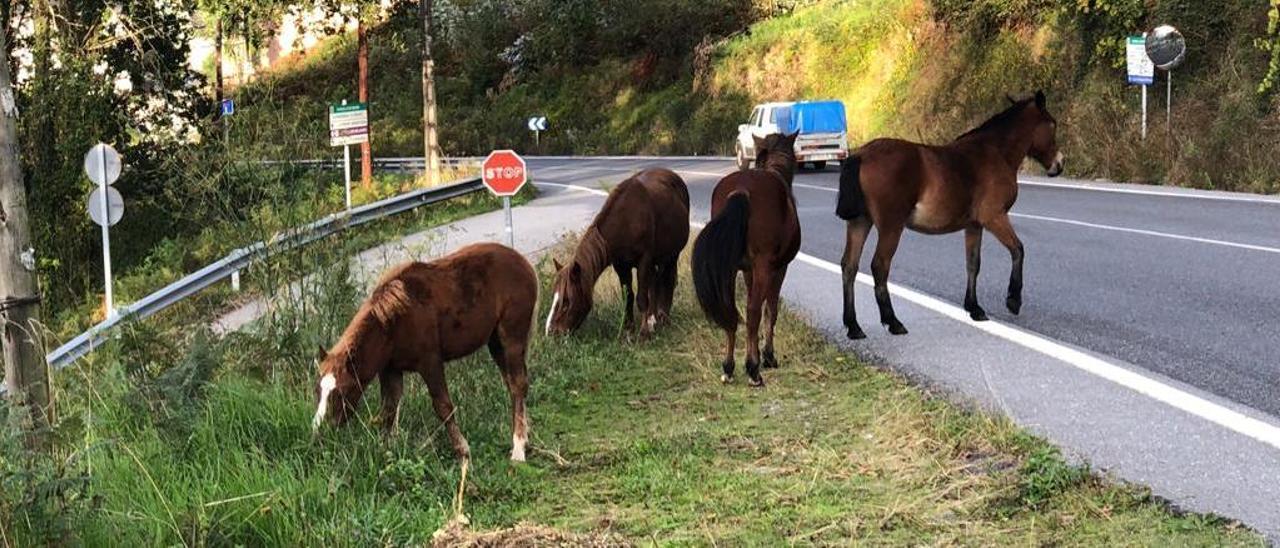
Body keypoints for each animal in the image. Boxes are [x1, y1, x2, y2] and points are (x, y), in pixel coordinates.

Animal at [312, 241, 537, 460]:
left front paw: (463, 451)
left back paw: (518, 448)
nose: (319, 430)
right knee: (512, 383)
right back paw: (524, 436)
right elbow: (388, 410)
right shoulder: (391, 371)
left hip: (512, 337)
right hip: (495, 343)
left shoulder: (430, 363)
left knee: (517, 384)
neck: (392, 323)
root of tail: (525, 263)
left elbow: (443, 406)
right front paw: (387, 452)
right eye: (318, 390)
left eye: (342, 391)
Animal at [547, 166, 691, 335]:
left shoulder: (644, 261)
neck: (626, 221)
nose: (551, 332)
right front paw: (628, 331)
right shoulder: (621, 267)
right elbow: (627, 297)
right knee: (655, 281)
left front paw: (643, 333)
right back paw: (653, 319)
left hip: (672, 255)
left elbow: (641, 298)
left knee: (669, 279)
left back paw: (664, 318)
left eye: (567, 301)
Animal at [691, 133, 798, 386]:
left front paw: (755, 353)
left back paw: (729, 367)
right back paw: (753, 371)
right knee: (752, 311)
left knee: (731, 310)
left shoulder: (748, 270)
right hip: (763, 266)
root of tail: (740, 191)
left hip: (728, 267)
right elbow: (770, 311)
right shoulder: (778, 268)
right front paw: (767, 356)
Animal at [834, 90, 1064, 338]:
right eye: (1052, 124)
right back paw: (892, 321)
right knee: (879, 266)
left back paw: (853, 326)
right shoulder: (994, 217)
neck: (995, 152)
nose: (1059, 164)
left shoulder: (974, 225)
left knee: (849, 266)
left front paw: (974, 308)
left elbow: (973, 263)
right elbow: (1018, 250)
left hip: (860, 222)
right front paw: (1013, 300)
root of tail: (862, 154)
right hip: (890, 226)